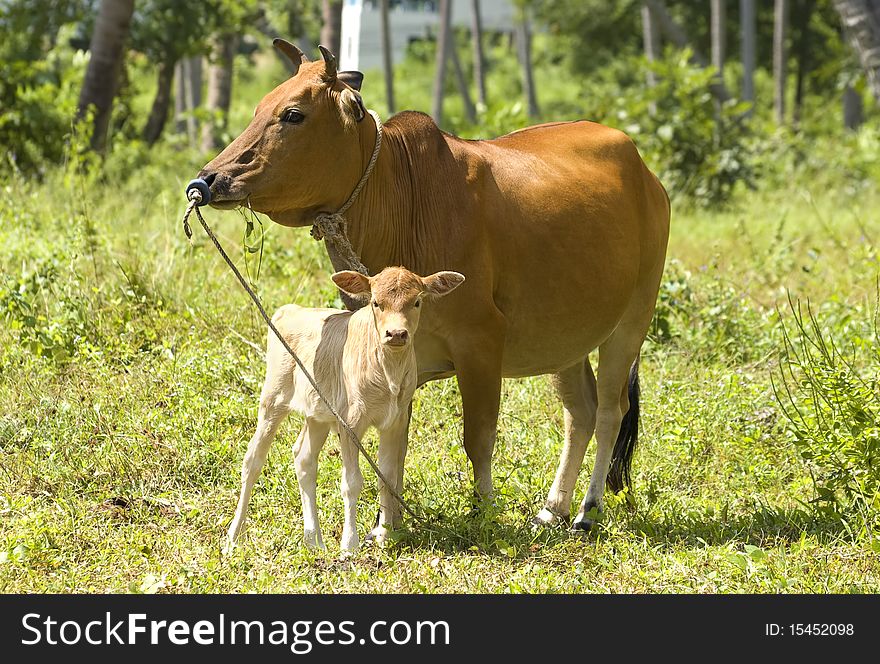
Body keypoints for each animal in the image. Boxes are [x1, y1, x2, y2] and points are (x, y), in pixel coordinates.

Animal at [198, 42, 668, 536]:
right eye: (258, 108)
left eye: (293, 114)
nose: (208, 180)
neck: (402, 197)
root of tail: (645, 172)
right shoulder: (397, 360)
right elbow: (394, 445)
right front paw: (386, 523)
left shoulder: (481, 342)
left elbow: (477, 437)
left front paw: (483, 513)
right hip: (566, 340)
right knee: (580, 411)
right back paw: (553, 507)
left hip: (632, 321)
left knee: (610, 410)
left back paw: (587, 510)